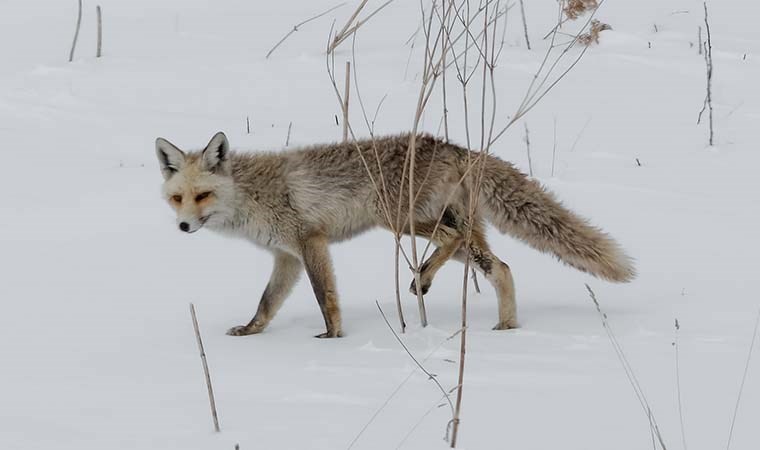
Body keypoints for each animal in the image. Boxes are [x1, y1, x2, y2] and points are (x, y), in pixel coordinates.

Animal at [156, 130, 636, 338]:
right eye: (177, 198)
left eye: (202, 195)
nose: (182, 227)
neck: (252, 193)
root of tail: (454, 146)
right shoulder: (287, 256)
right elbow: (267, 303)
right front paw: (251, 331)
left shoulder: (311, 242)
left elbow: (325, 299)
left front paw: (333, 339)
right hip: (439, 226)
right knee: (500, 267)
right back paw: (506, 326)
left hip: (396, 219)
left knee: (453, 242)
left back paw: (423, 279)